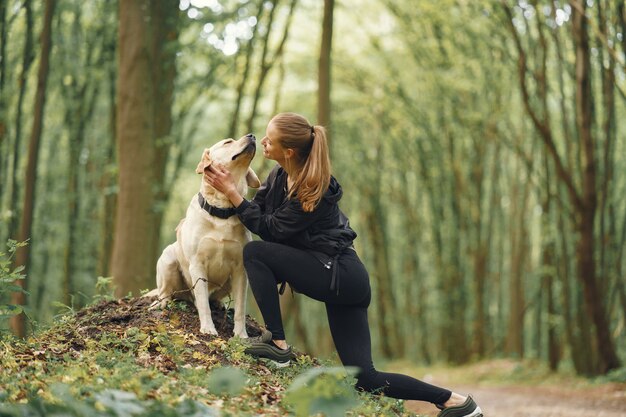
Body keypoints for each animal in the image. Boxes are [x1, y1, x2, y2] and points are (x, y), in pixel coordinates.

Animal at [151, 135, 258, 336]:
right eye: (228, 142)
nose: (252, 135)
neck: (222, 210)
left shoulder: (240, 269)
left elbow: (240, 308)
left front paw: (241, 335)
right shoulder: (198, 264)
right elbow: (202, 303)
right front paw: (208, 328)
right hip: (168, 258)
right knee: (166, 292)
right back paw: (161, 303)